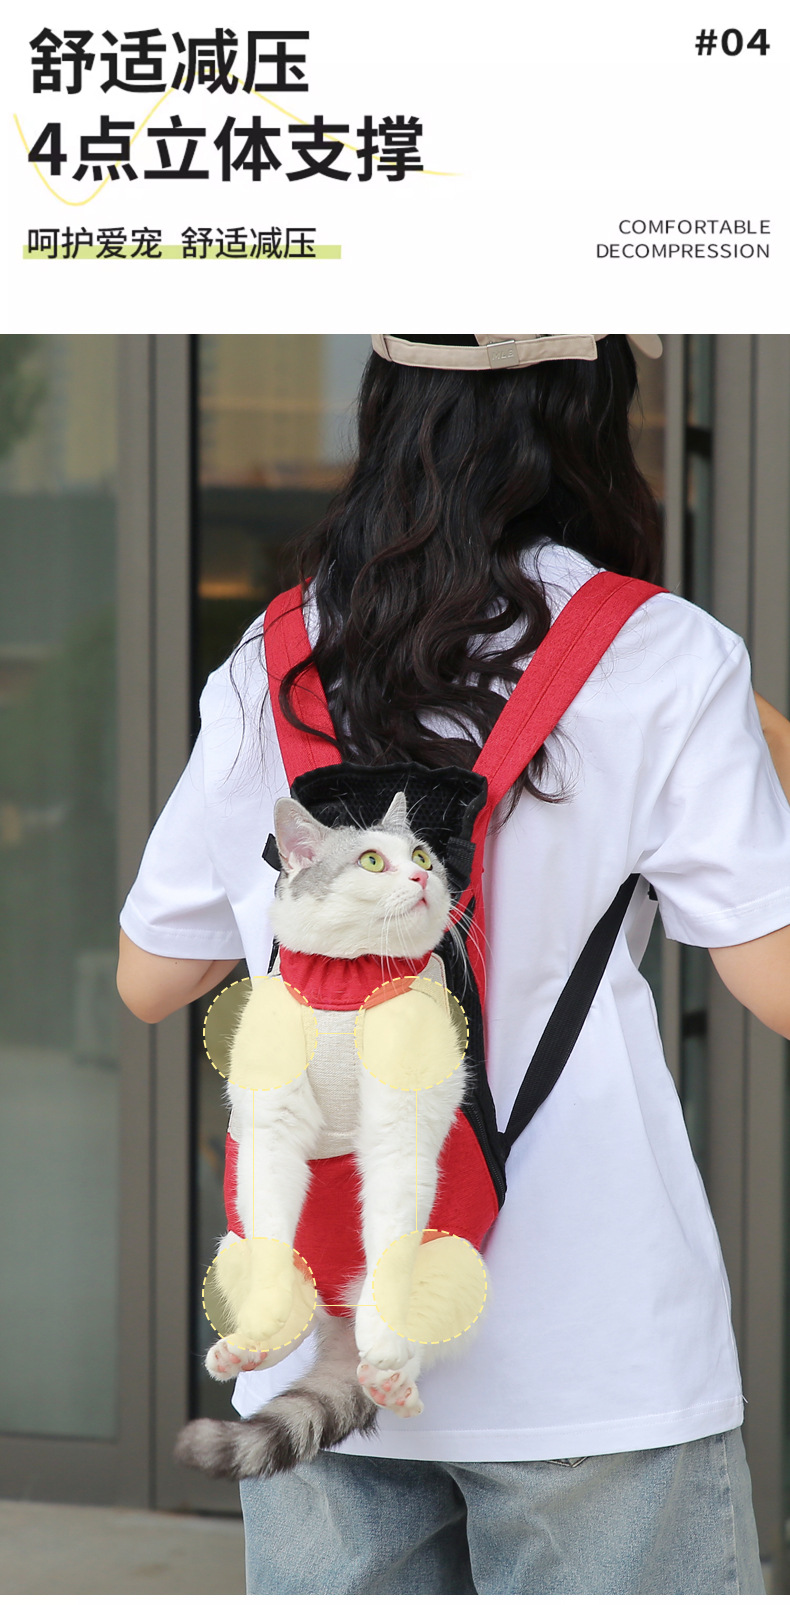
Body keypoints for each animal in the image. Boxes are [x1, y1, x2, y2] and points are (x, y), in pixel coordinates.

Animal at [175, 790, 478, 1480]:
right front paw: (259, 1325)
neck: (347, 985)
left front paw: (386, 1349)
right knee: (288, 1309)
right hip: (234, 1243)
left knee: (406, 1342)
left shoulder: (401, 1128)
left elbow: (391, 1216)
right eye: (371, 861)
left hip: (451, 1261)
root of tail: (339, 1313)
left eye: (422, 855)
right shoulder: (270, 1128)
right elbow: (272, 1201)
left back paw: (390, 1377)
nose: (421, 877)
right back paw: (243, 1348)